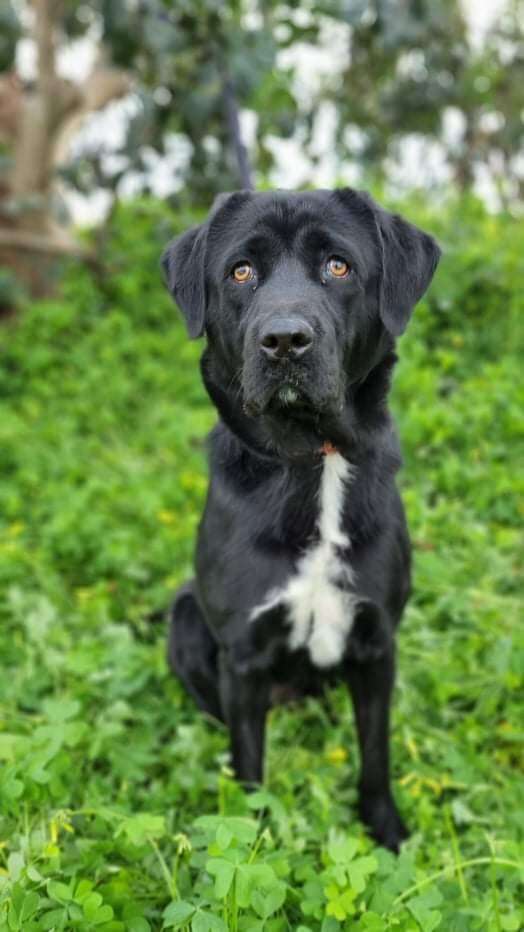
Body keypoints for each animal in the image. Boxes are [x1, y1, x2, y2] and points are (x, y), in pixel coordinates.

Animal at [162, 189, 440, 852]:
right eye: (240, 272)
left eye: (338, 266)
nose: (284, 340)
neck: (315, 461)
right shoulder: (243, 654)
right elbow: (249, 765)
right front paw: (249, 839)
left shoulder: (377, 640)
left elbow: (375, 752)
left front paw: (386, 833)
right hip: (185, 617)